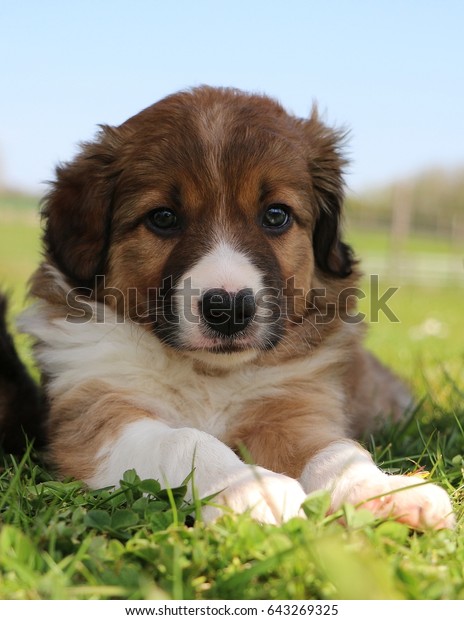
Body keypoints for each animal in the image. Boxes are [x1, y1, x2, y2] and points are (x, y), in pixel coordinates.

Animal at [17, 87, 454, 528]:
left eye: (276, 215)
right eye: (163, 218)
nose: (228, 308)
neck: (209, 374)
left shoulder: (294, 406)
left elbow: (338, 450)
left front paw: (381, 490)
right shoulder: (95, 412)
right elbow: (184, 440)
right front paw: (251, 488)